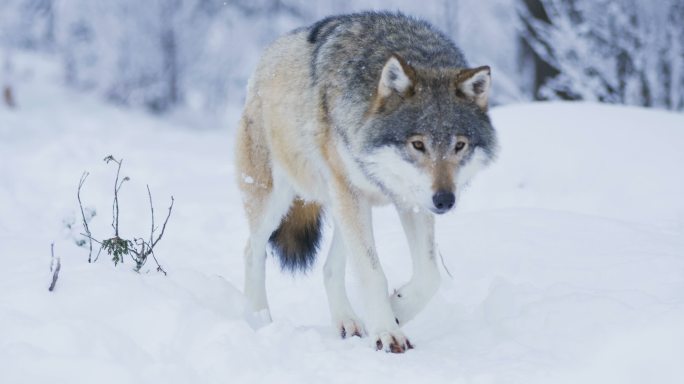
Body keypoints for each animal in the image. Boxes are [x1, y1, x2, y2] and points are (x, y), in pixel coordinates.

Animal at [235, 11, 496, 354]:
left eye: (459, 145)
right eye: (418, 144)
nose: (444, 200)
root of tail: (266, 55)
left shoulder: (411, 202)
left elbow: (430, 276)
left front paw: (396, 309)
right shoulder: (354, 192)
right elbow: (373, 273)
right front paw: (387, 332)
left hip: (342, 204)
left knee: (330, 268)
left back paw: (347, 322)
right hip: (281, 199)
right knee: (252, 250)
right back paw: (260, 321)